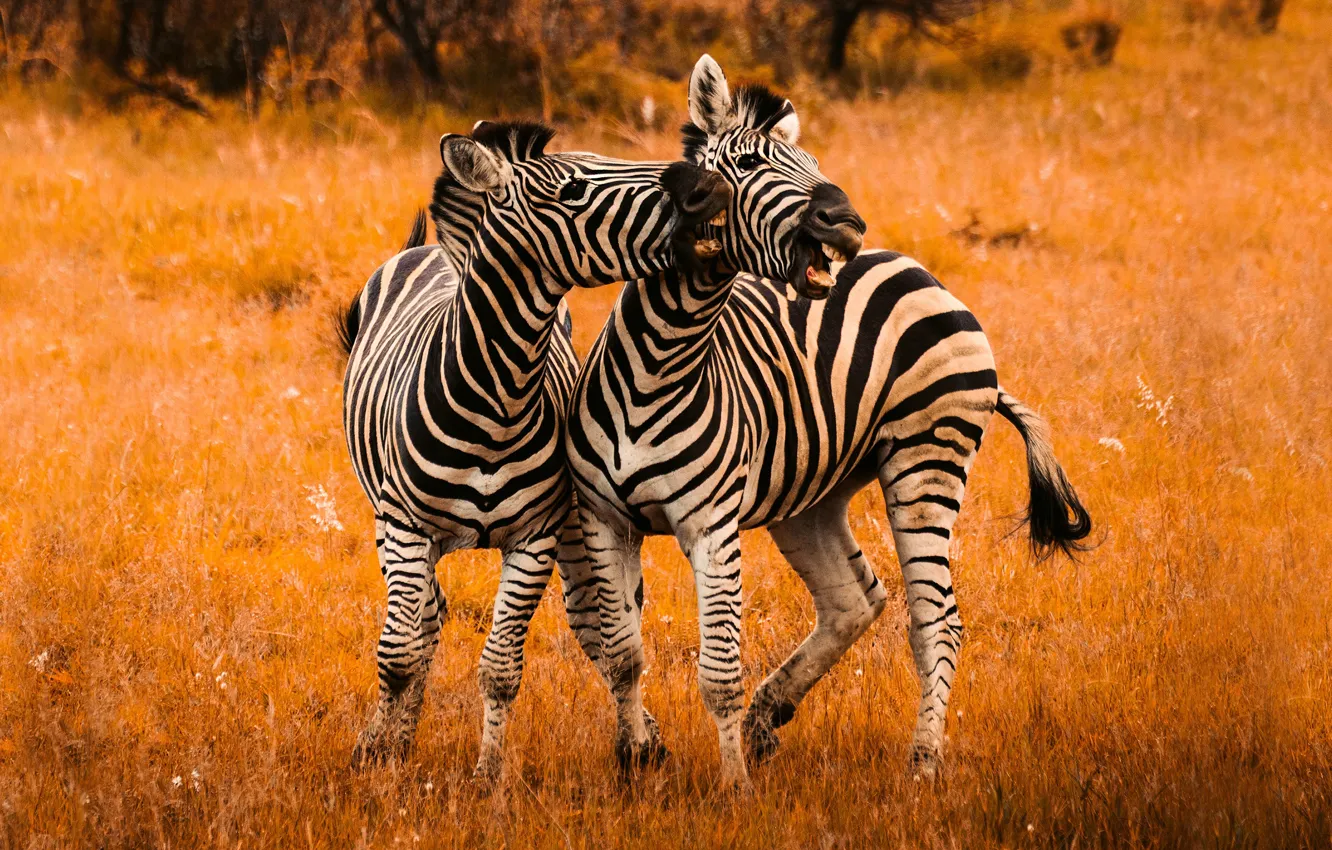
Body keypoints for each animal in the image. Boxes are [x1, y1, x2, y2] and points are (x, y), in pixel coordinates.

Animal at [338, 120, 730, 779]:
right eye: (571, 190)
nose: (706, 190)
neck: (497, 394)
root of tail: (429, 249)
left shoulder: (535, 536)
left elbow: (500, 669)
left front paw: (488, 776)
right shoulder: (407, 529)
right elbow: (396, 656)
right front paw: (381, 761)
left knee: (595, 622)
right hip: (388, 523)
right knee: (423, 622)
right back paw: (392, 739)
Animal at [563, 55, 1092, 790]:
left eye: (813, 162)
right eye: (748, 162)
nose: (846, 221)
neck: (660, 364)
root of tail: (920, 271)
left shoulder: (711, 524)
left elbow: (718, 671)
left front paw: (733, 791)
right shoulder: (603, 517)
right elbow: (620, 655)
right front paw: (636, 765)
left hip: (925, 461)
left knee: (936, 622)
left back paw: (922, 764)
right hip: (812, 491)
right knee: (855, 598)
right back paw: (769, 717)